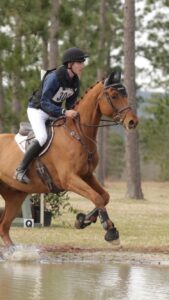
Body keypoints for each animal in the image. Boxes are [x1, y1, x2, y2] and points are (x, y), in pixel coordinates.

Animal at [0, 70, 138, 246]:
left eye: (125, 94)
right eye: (114, 96)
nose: (133, 122)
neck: (78, 134)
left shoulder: (86, 175)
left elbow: (104, 196)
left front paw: (83, 220)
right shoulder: (69, 179)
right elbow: (97, 197)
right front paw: (110, 231)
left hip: (15, 196)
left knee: (4, 227)